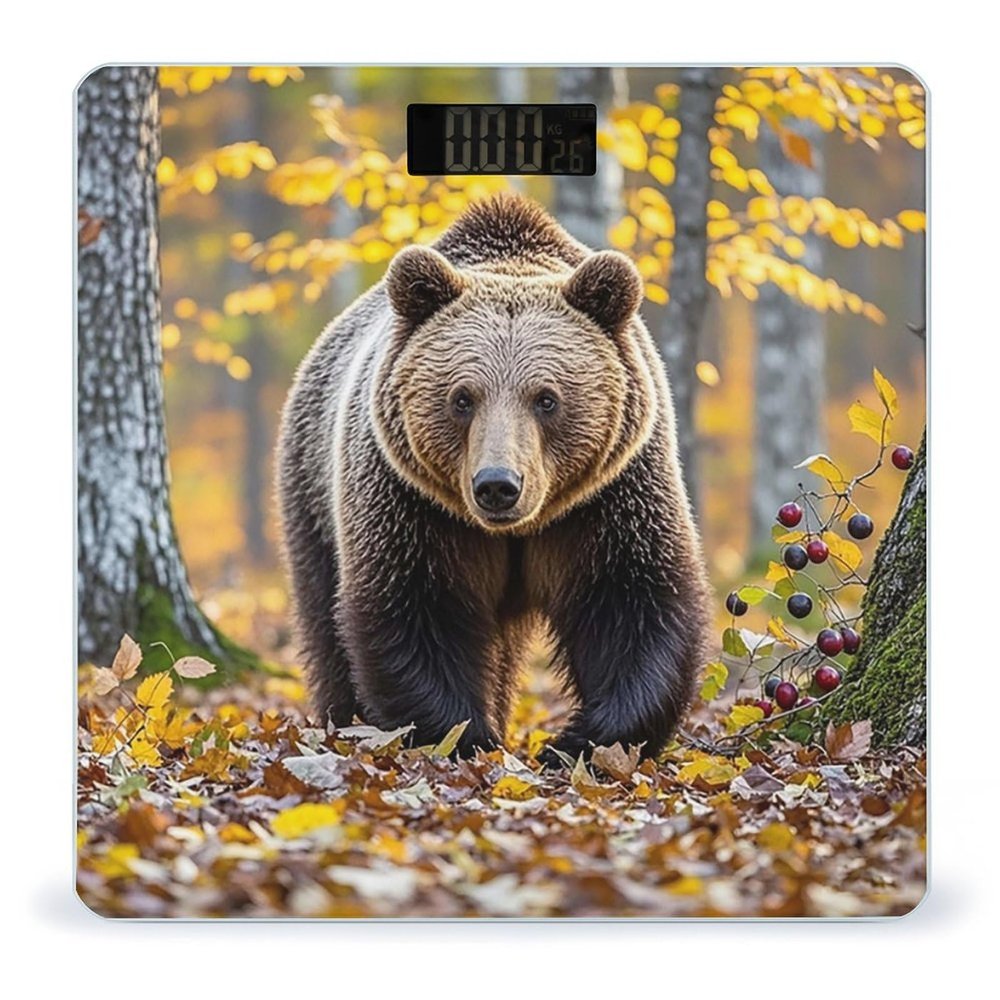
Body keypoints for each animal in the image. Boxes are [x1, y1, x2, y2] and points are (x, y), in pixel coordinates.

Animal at [276, 192, 711, 761]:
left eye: (547, 398)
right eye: (463, 397)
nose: (498, 485)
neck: (520, 528)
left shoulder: (611, 497)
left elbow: (634, 601)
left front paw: (577, 741)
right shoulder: (411, 502)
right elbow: (413, 608)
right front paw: (466, 736)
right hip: (312, 491)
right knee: (323, 613)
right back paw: (343, 719)